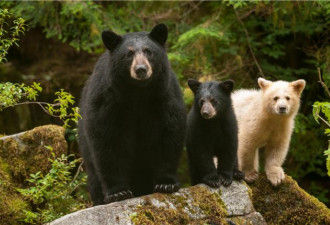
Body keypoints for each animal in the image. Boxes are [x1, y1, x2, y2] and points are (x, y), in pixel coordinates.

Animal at [77, 23, 186, 205]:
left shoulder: (164, 96)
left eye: (148, 51)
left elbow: (168, 134)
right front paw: (118, 192)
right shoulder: (107, 101)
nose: (141, 69)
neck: (138, 93)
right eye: (129, 54)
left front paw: (166, 184)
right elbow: (107, 141)